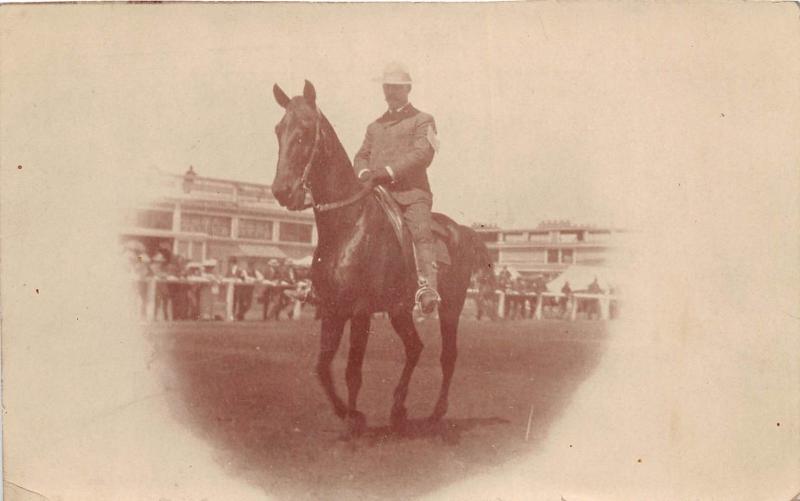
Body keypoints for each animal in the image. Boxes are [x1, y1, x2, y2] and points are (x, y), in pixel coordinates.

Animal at [272, 80, 490, 436]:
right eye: (279, 129)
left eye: (304, 130)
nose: (282, 191)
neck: (348, 225)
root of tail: (461, 231)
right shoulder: (332, 308)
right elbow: (322, 367)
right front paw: (348, 413)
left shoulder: (360, 312)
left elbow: (352, 371)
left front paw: (355, 419)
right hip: (399, 309)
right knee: (415, 348)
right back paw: (398, 409)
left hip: (450, 308)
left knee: (448, 356)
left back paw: (435, 412)